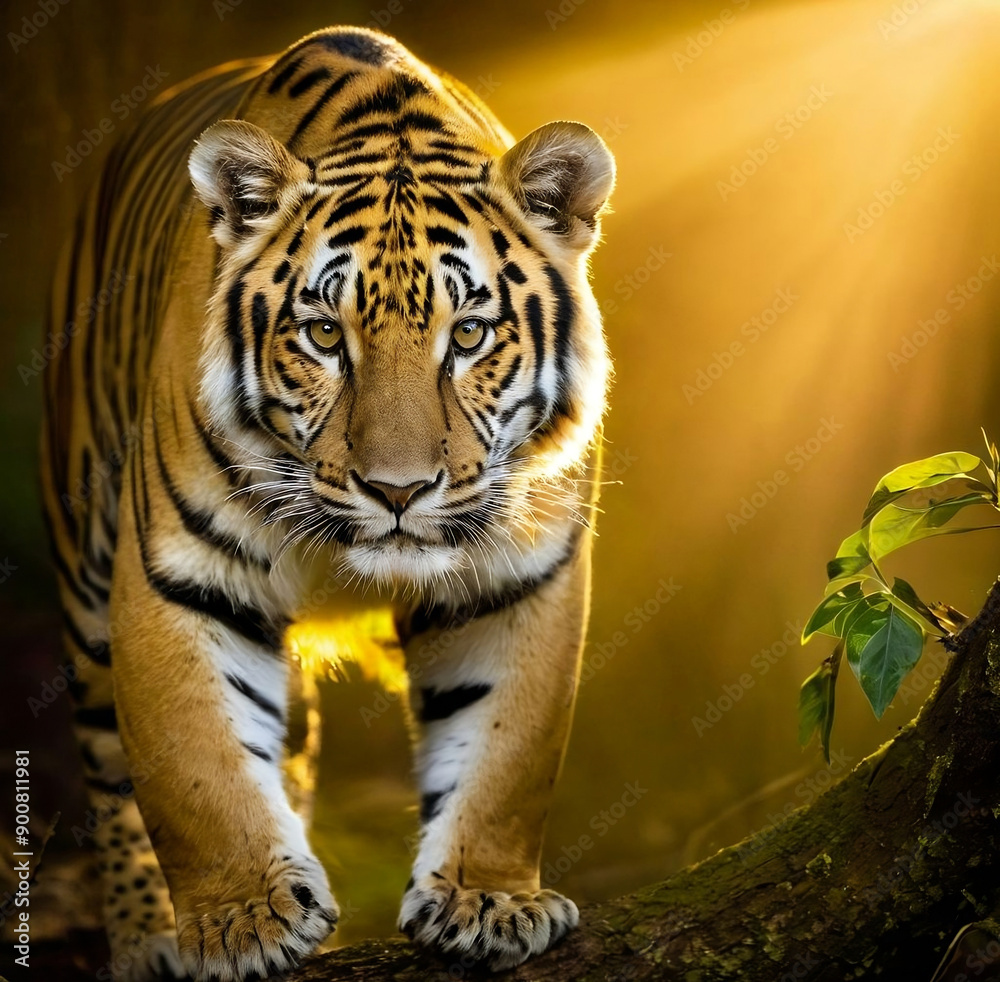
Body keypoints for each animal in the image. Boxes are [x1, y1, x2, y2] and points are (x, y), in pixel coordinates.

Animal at [40, 25, 615, 981]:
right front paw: (243, 921)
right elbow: (197, 766)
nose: (398, 490)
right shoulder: (177, 576)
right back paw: (149, 939)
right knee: (110, 767)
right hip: (85, 578)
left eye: (469, 335)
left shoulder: (519, 579)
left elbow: (506, 756)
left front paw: (489, 901)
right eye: (322, 335)